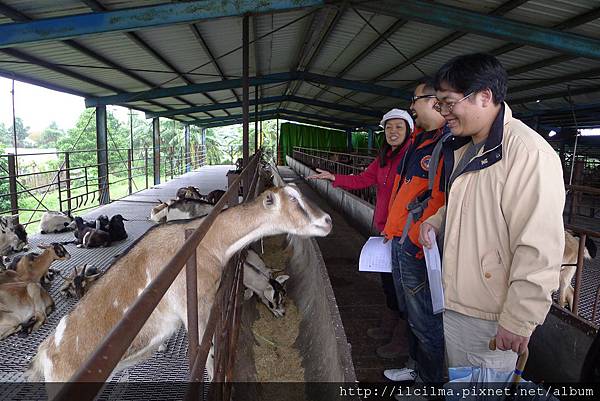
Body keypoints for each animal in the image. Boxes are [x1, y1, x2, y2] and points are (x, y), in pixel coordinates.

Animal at [25, 184, 330, 382]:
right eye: (293, 201)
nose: (326, 220)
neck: (207, 241)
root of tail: (44, 354)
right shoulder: (192, 304)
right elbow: (208, 357)